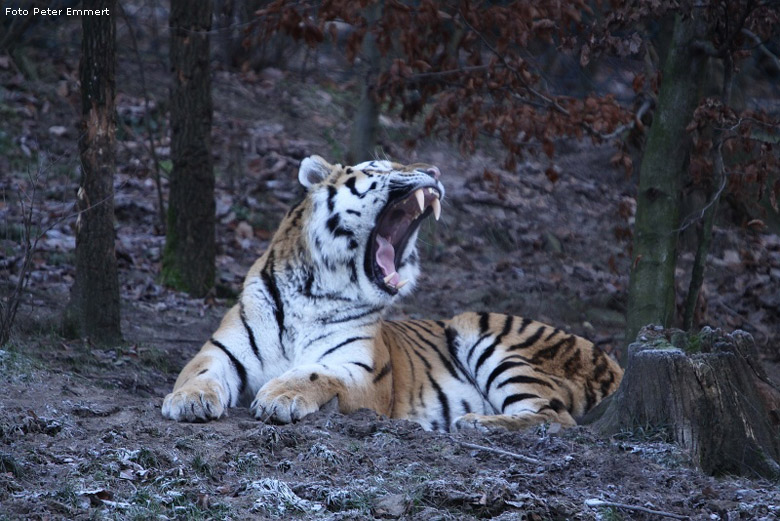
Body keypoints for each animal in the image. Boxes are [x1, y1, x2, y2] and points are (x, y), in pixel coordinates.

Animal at [161, 154, 624, 430]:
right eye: (379, 166)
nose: (436, 172)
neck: (314, 290)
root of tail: (614, 362)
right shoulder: (221, 352)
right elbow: (198, 373)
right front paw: (188, 401)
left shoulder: (363, 371)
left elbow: (316, 373)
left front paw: (281, 396)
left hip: (483, 333)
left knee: (554, 417)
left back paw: (477, 423)